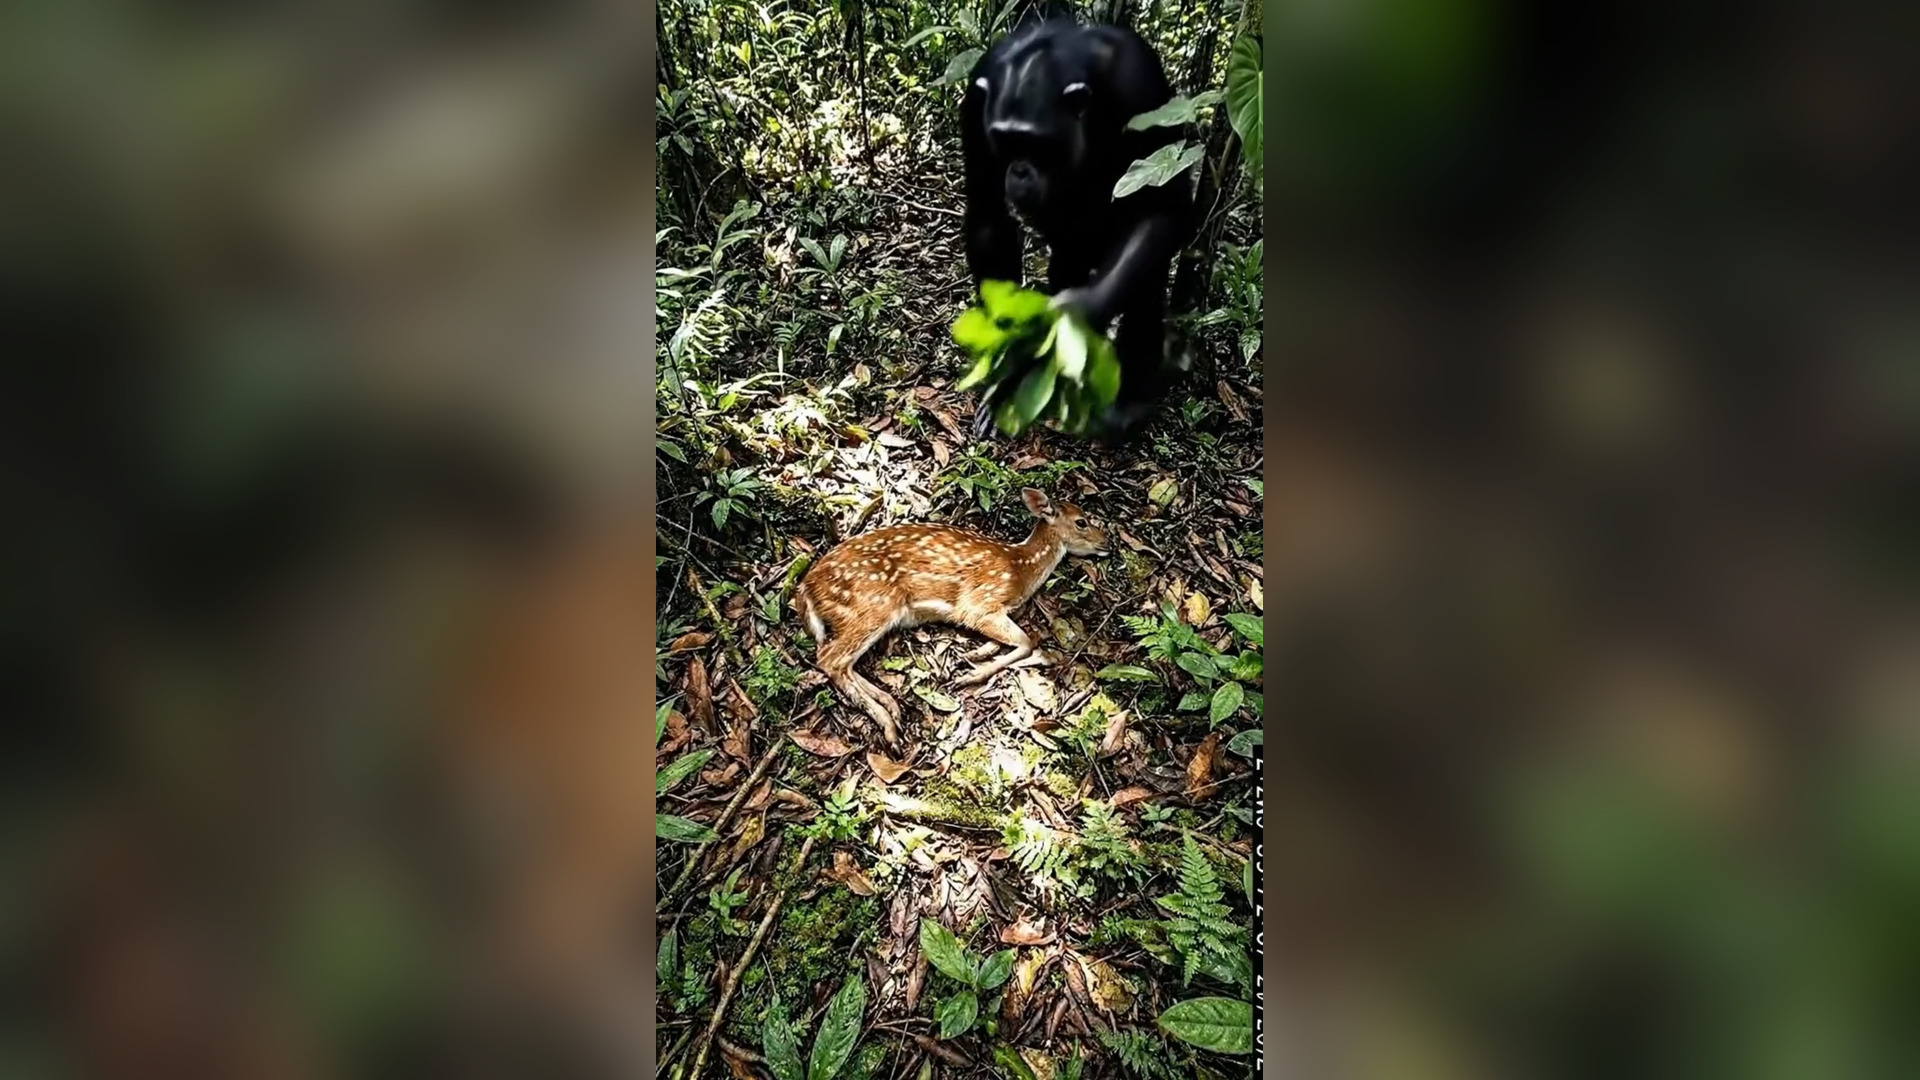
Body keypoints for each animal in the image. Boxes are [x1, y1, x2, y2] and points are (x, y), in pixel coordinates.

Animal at [793, 488, 1109, 745]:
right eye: (1082, 521)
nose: (1107, 543)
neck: (1021, 568)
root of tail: (806, 588)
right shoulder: (978, 602)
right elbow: (1027, 641)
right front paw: (969, 675)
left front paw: (975, 655)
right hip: (874, 605)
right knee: (831, 659)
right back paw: (890, 729)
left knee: (842, 662)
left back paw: (893, 707)